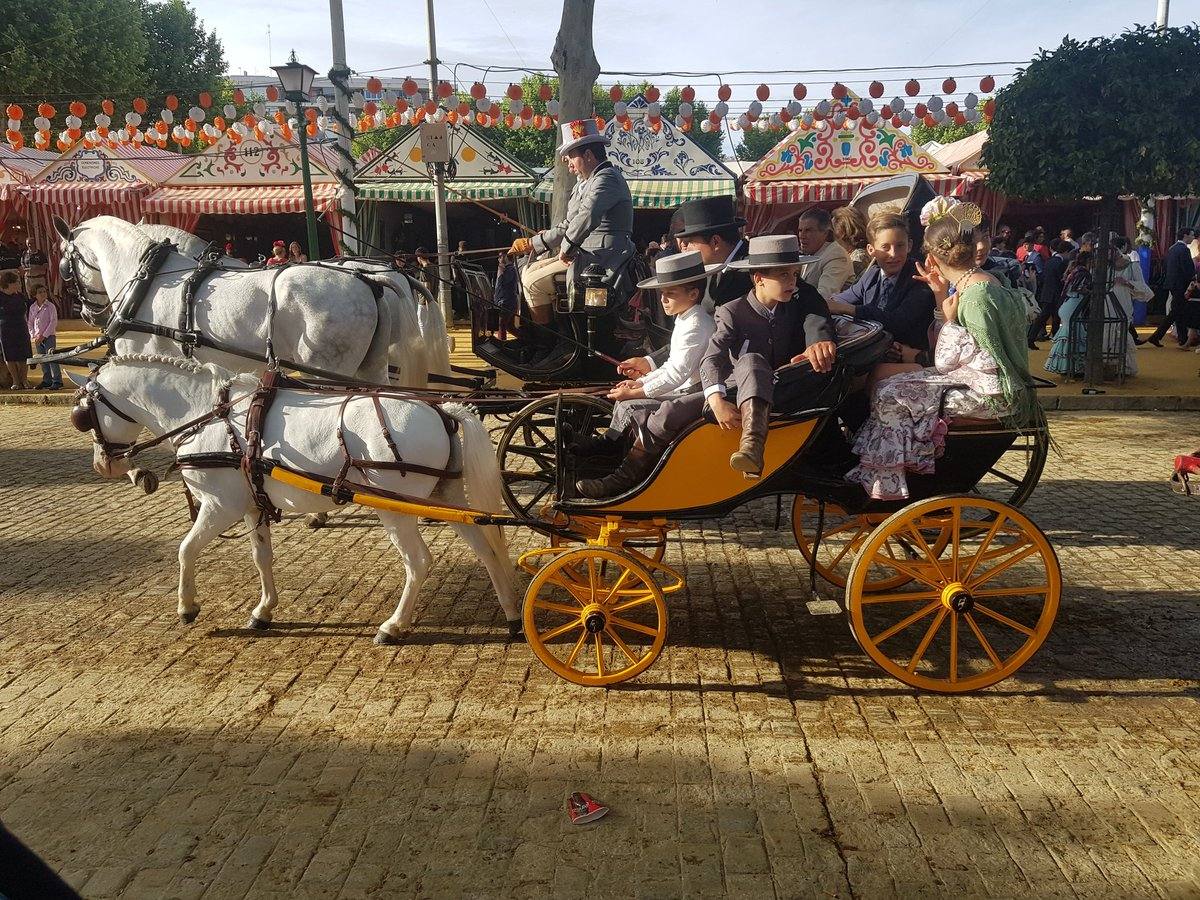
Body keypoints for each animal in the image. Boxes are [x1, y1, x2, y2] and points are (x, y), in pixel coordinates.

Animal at [59, 218, 403, 388]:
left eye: (65, 265)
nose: (89, 313)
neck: (149, 279)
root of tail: (368, 283)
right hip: (370, 367)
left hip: (325, 369)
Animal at [72, 355, 523, 643]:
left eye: (83, 416)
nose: (103, 466)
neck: (210, 415)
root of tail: (444, 411)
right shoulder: (252, 506)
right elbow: (261, 557)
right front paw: (263, 611)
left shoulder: (220, 506)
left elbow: (186, 549)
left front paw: (187, 607)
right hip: (447, 497)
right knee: (486, 548)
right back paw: (513, 614)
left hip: (396, 509)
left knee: (419, 563)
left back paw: (393, 626)